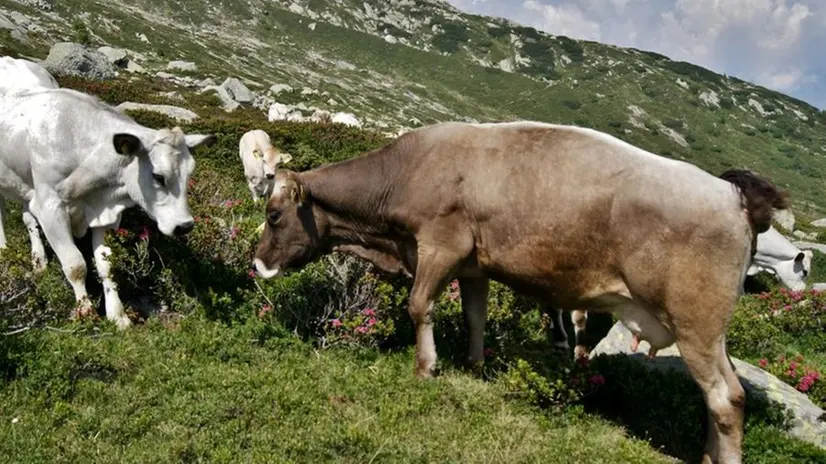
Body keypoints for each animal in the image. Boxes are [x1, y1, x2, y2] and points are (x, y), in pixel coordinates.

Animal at [0, 85, 216, 328]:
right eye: (158, 176)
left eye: (190, 174)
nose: (185, 226)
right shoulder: (50, 208)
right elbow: (75, 265)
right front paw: (85, 311)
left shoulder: (105, 216)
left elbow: (106, 265)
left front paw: (118, 315)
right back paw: (4, 251)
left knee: (28, 218)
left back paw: (39, 262)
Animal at [254, 120, 788, 464]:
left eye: (273, 215)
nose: (257, 264)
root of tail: (732, 194)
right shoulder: (473, 264)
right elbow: (474, 317)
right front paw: (473, 367)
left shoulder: (440, 246)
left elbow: (419, 306)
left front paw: (426, 368)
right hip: (712, 333)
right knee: (724, 395)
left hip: (696, 324)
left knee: (726, 398)